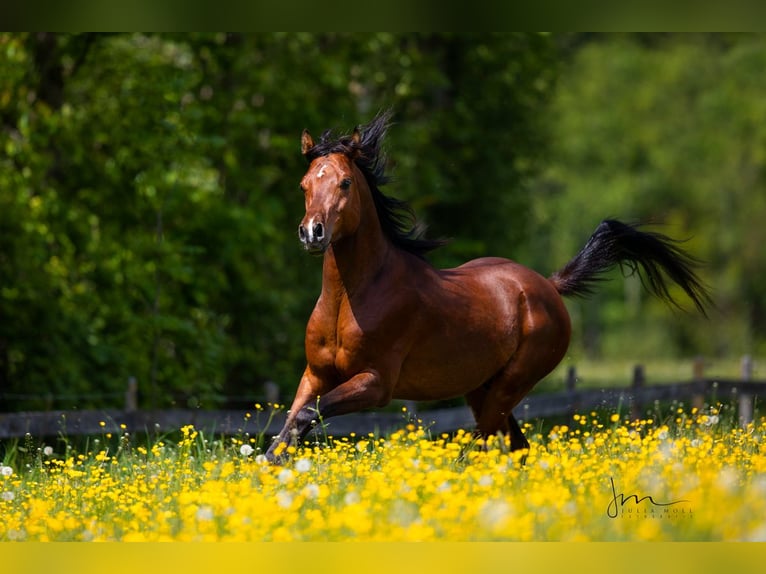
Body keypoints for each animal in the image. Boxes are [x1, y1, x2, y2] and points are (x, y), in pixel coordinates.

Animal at [263, 110, 710, 463]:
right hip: (481, 387)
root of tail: (547, 287)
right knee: (517, 446)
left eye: (344, 183)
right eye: (305, 184)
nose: (312, 233)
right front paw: (271, 463)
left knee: (487, 445)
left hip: (511, 384)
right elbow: (290, 422)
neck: (351, 299)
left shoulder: (376, 383)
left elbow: (307, 415)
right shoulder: (315, 375)